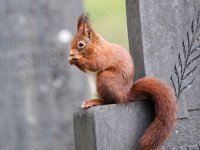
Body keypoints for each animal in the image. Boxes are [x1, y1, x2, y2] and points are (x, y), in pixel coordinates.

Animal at [68, 14, 177, 150]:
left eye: (81, 44)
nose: (71, 53)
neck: (95, 46)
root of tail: (125, 95)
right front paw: (71, 60)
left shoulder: (102, 55)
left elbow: (95, 64)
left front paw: (78, 59)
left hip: (105, 78)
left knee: (109, 100)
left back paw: (95, 101)